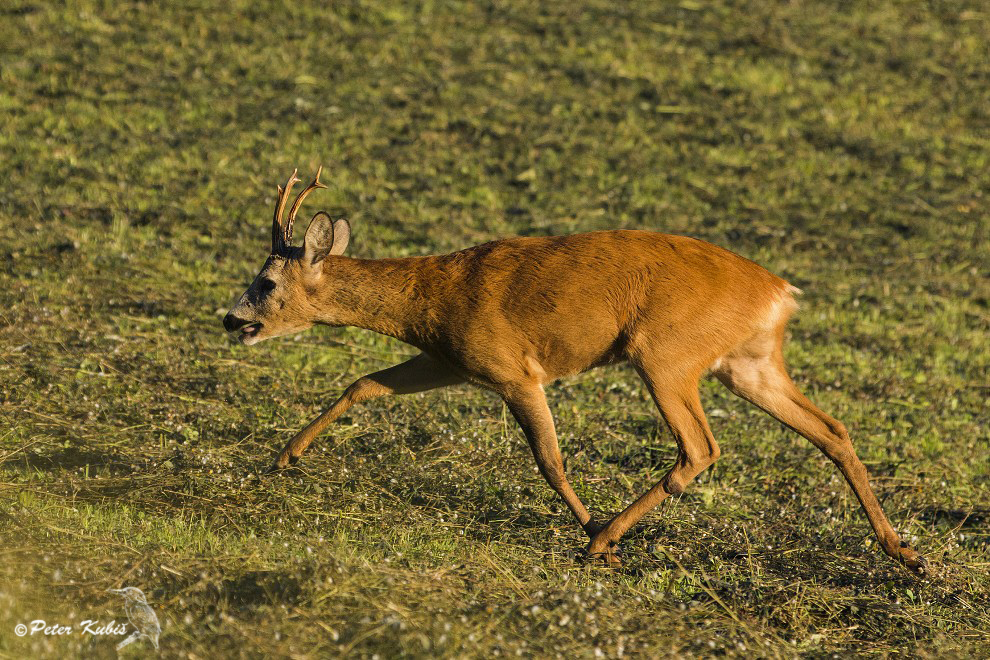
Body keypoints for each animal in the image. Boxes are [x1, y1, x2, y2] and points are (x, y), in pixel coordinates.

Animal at [223, 168, 928, 576]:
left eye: (266, 282)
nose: (231, 319)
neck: (434, 297)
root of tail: (779, 294)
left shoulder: (511, 368)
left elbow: (549, 459)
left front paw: (588, 524)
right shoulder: (452, 361)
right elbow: (364, 382)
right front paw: (284, 457)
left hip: (665, 352)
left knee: (701, 447)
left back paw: (601, 541)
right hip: (748, 363)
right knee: (832, 429)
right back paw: (904, 552)